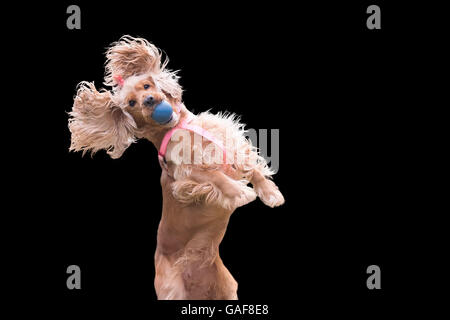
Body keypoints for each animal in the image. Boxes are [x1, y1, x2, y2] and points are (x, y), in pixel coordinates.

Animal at [67, 36, 284, 298]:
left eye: (147, 86)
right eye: (131, 103)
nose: (149, 100)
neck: (179, 126)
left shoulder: (227, 142)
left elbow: (251, 169)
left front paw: (271, 194)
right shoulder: (186, 174)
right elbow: (215, 177)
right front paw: (240, 192)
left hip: (227, 289)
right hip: (172, 289)